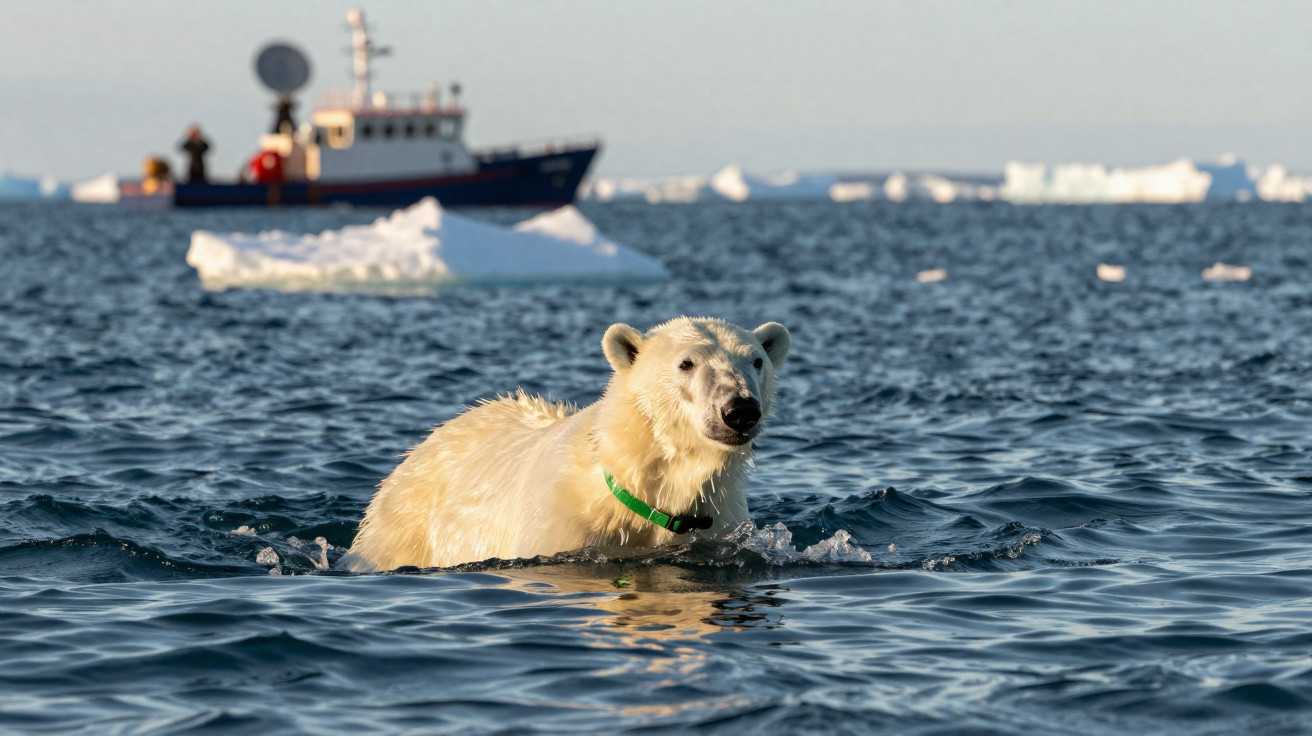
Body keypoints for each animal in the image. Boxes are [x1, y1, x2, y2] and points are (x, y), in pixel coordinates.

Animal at [342, 316, 790, 572]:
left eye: (756, 361)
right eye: (687, 363)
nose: (739, 410)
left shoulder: (718, 528)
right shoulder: (562, 531)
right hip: (405, 526)